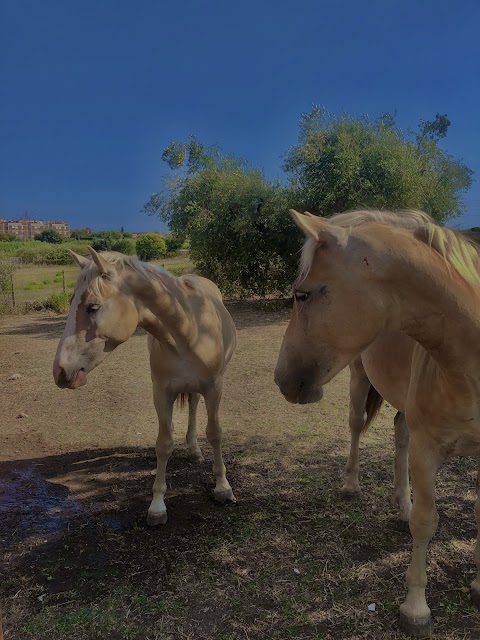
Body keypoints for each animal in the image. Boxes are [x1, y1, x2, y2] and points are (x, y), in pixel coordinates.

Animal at [52, 249, 236, 524]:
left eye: (92, 307)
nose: (60, 371)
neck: (189, 331)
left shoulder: (215, 388)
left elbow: (215, 433)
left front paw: (223, 488)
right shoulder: (161, 393)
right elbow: (164, 444)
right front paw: (157, 506)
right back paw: (193, 449)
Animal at [276, 209, 480, 636]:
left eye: (302, 294)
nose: (282, 378)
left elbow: (476, 515)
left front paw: (478, 588)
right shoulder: (427, 450)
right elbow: (426, 522)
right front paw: (415, 609)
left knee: (399, 435)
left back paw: (401, 502)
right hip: (358, 381)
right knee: (357, 426)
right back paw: (352, 485)